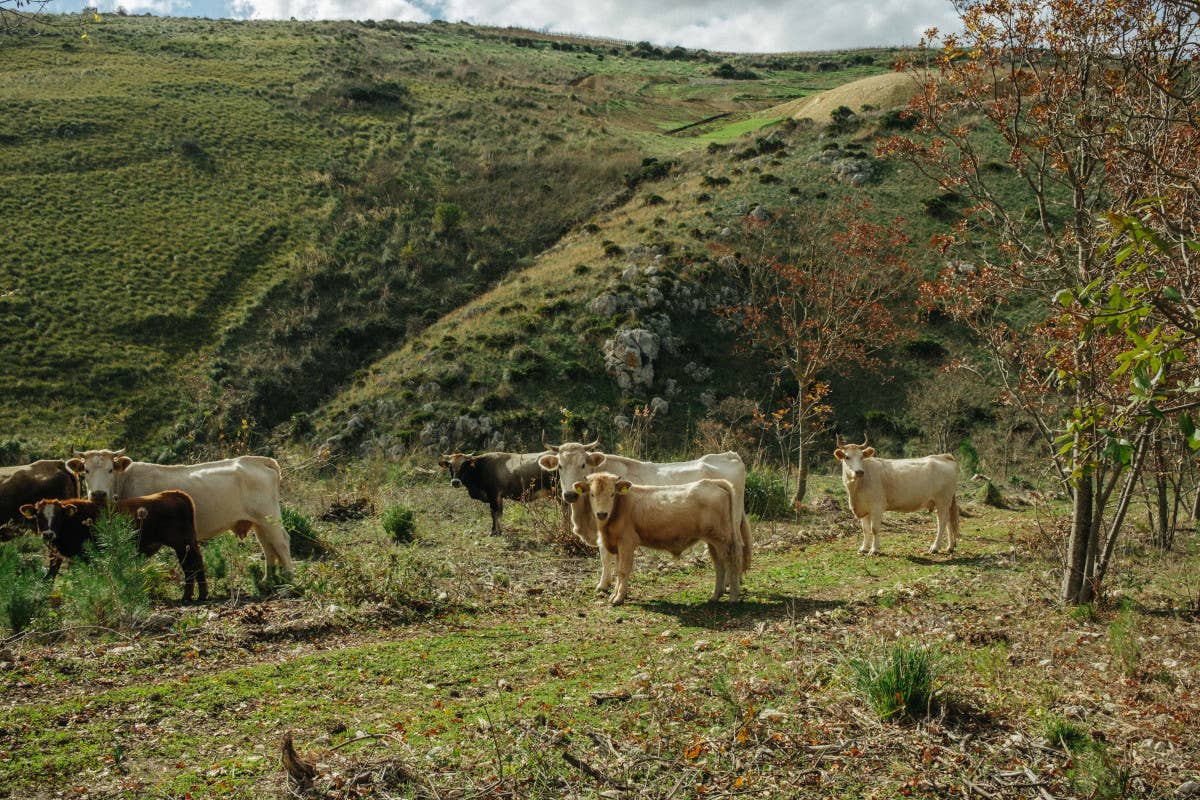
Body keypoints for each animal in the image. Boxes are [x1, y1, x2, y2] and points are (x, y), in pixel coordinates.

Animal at [20, 491, 208, 604]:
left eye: (58, 516)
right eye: (38, 516)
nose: (48, 534)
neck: (74, 520)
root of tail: (173, 493)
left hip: (182, 544)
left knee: (192, 566)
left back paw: (191, 596)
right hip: (187, 544)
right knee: (194, 566)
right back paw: (197, 595)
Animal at [68, 450, 292, 582]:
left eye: (110, 469)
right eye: (86, 470)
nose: (98, 494)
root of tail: (257, 460)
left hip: (268, 517)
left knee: (281, 542)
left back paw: (289, 580)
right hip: (259, 522)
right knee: (268, 546)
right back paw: (267, 580)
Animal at [571, 472, 739, 604]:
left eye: (612, 493)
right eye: (592, 494)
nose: (602, 514)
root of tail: (712, 482)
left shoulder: (627, 542)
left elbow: (623, 570)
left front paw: (618, 598)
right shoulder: (618, 545)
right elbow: (618, 570)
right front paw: (615, 594)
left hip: (723, 539)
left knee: (730, 562)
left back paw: (733, 598)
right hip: (712, 540)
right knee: (719, 564)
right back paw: (715, 596)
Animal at [830, 438, 960, 556]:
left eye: (862, 456)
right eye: (847, 457)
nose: (859, 472)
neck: (856, 490)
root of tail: (943, 456)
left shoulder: (877, 507)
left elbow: (874, 529)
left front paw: (874, 550)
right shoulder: (864, 508)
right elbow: (865, 529)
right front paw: (863, 548)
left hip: (942, 501)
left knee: (942, 522)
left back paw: (934, 547)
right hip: (945, 503)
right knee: (949, 521)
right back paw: (949, 547)